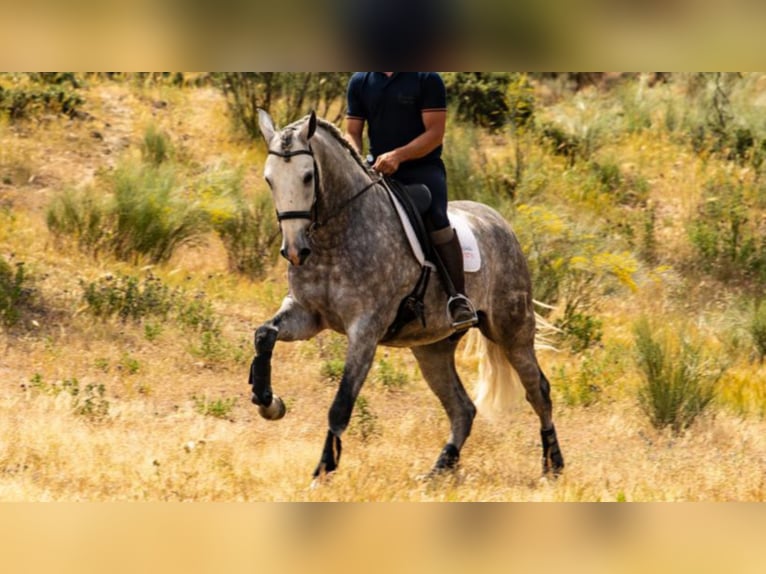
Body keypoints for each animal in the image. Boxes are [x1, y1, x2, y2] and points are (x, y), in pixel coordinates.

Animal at [250, 111, 564, 482]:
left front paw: (323, 471)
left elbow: (341, 404)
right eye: (269, 179)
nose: (295, 251)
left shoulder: (366, 330)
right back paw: (440, 469)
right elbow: (264, 334)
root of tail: (500, 222)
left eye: (308, 176)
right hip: (432, 348)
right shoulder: (305, 314)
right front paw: (269, 402)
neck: (334, 237)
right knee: (463, 408)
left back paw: (553, 465)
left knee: (538, 390)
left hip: (511, 330)